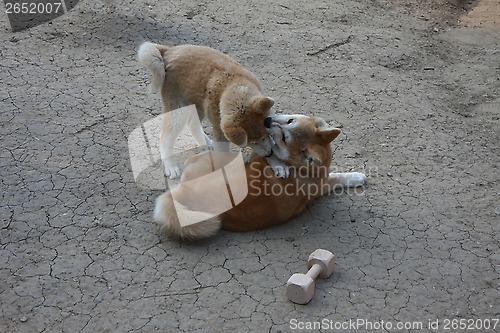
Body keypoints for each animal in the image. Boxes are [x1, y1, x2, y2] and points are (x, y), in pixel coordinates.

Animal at [139, 43, 276, 179]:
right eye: (252, 142)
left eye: (265, 136)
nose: (269, 154)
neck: (233, 84)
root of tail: (168, 50)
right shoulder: (219, 129)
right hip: (178, 110)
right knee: (165, 138)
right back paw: (170, 166)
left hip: (196, 104)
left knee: (193, 125)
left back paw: (206, 143)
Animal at [153, 115, 368, 239]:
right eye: (290, 121)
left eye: (285, 138)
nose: (266, 121)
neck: (304, 170)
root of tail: (181, 195)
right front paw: (357, 177)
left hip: (219, 158)